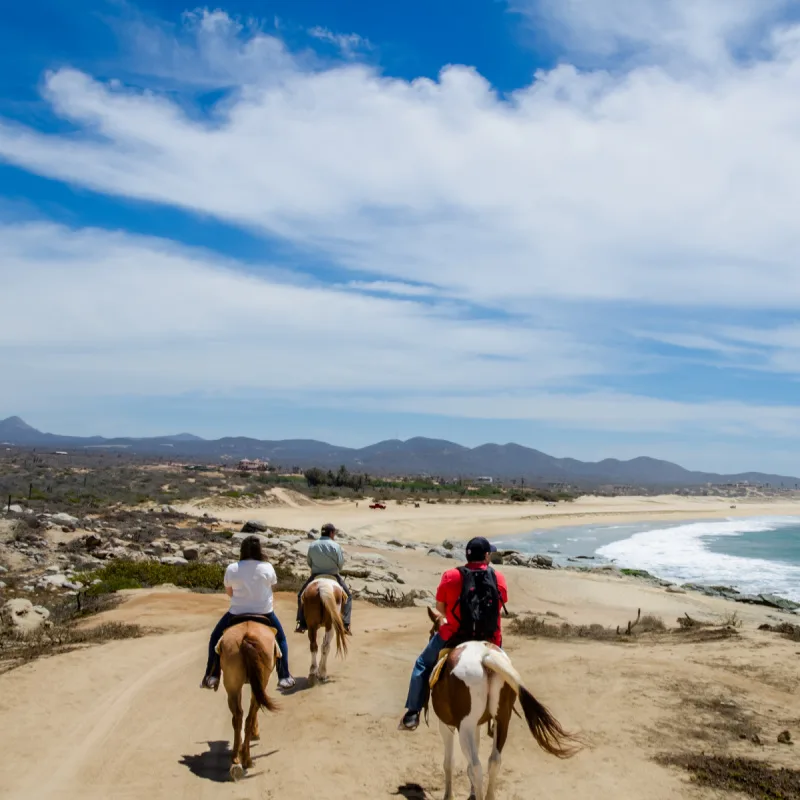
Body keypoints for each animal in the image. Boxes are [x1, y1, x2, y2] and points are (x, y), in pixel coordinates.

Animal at [219, 620, 282, 780]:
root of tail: (246, 636)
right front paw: (256, 732)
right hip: (260, 680)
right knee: (249, 715)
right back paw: (247, 759)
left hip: (232, 684)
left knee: (239, 716)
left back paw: (236, 758)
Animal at [424, 608, 576, 796]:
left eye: (432, 631)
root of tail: (485, 657)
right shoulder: (477, 725)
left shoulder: (447, 725)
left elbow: (449, 763)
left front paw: (449, 796)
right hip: (502, 719)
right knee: (494, 761)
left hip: (465, 726)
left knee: (477, 767)